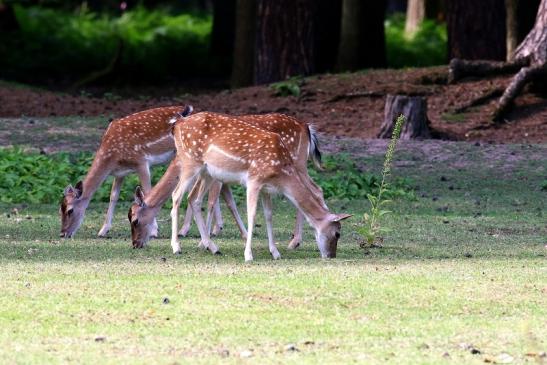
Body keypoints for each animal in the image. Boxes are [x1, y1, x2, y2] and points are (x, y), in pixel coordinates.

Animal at [59, 104, 193, 239]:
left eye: (70, 210)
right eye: (60, 209)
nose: (62, 233)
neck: (112, 157)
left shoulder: (141, 161)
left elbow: (147, 192)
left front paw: (154, 231)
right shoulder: (120, 172)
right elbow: (113, 196)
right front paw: (103, 230)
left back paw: (183, 230)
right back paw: (184, 230)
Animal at [128, 112, 352, 260]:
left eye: (135, 220)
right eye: (337, 233)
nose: (135, 244)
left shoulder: (262, 187)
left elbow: (266, 215)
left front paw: (273, 251)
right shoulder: (251, 180)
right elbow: (245, 211)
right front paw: (248, 253)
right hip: (194, 164)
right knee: (179, 196)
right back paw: (178, 247)